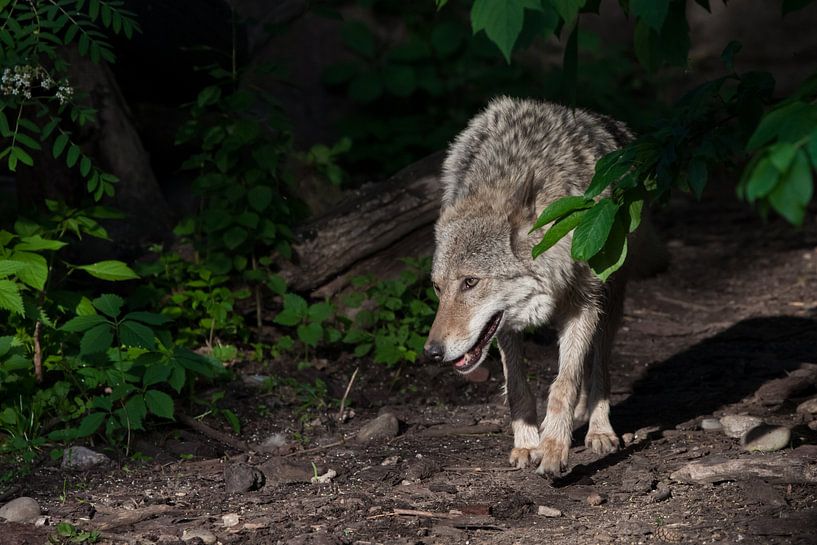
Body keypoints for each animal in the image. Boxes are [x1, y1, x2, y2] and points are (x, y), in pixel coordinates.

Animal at [424, 96, 662, 476]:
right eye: (437, 288)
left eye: (470, 282)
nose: (431, 352)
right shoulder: (504, 325)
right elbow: (518, 387)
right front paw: (527, 444)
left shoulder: (584, 304)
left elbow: (564, 384)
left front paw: (552, 447)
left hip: (611, 301)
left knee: (599, 366)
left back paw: (599, 429)